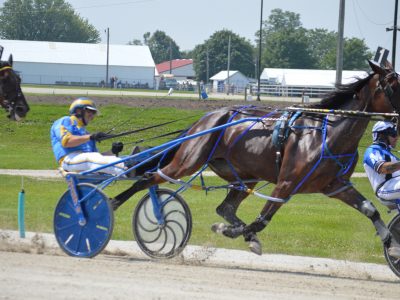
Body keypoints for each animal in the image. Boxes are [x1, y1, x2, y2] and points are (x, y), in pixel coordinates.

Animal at [111, 60, 400, 255]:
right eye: (393, 84)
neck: (327, 132)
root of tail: (205, 119)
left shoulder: (335, 185)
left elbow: (370, 209)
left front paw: (391, 243)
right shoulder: (286, 183)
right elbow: (261, 221)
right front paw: (230, 231)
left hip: (245, 176)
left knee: (225, 207)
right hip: (188, 161)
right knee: (149, 178)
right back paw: (113, 203)